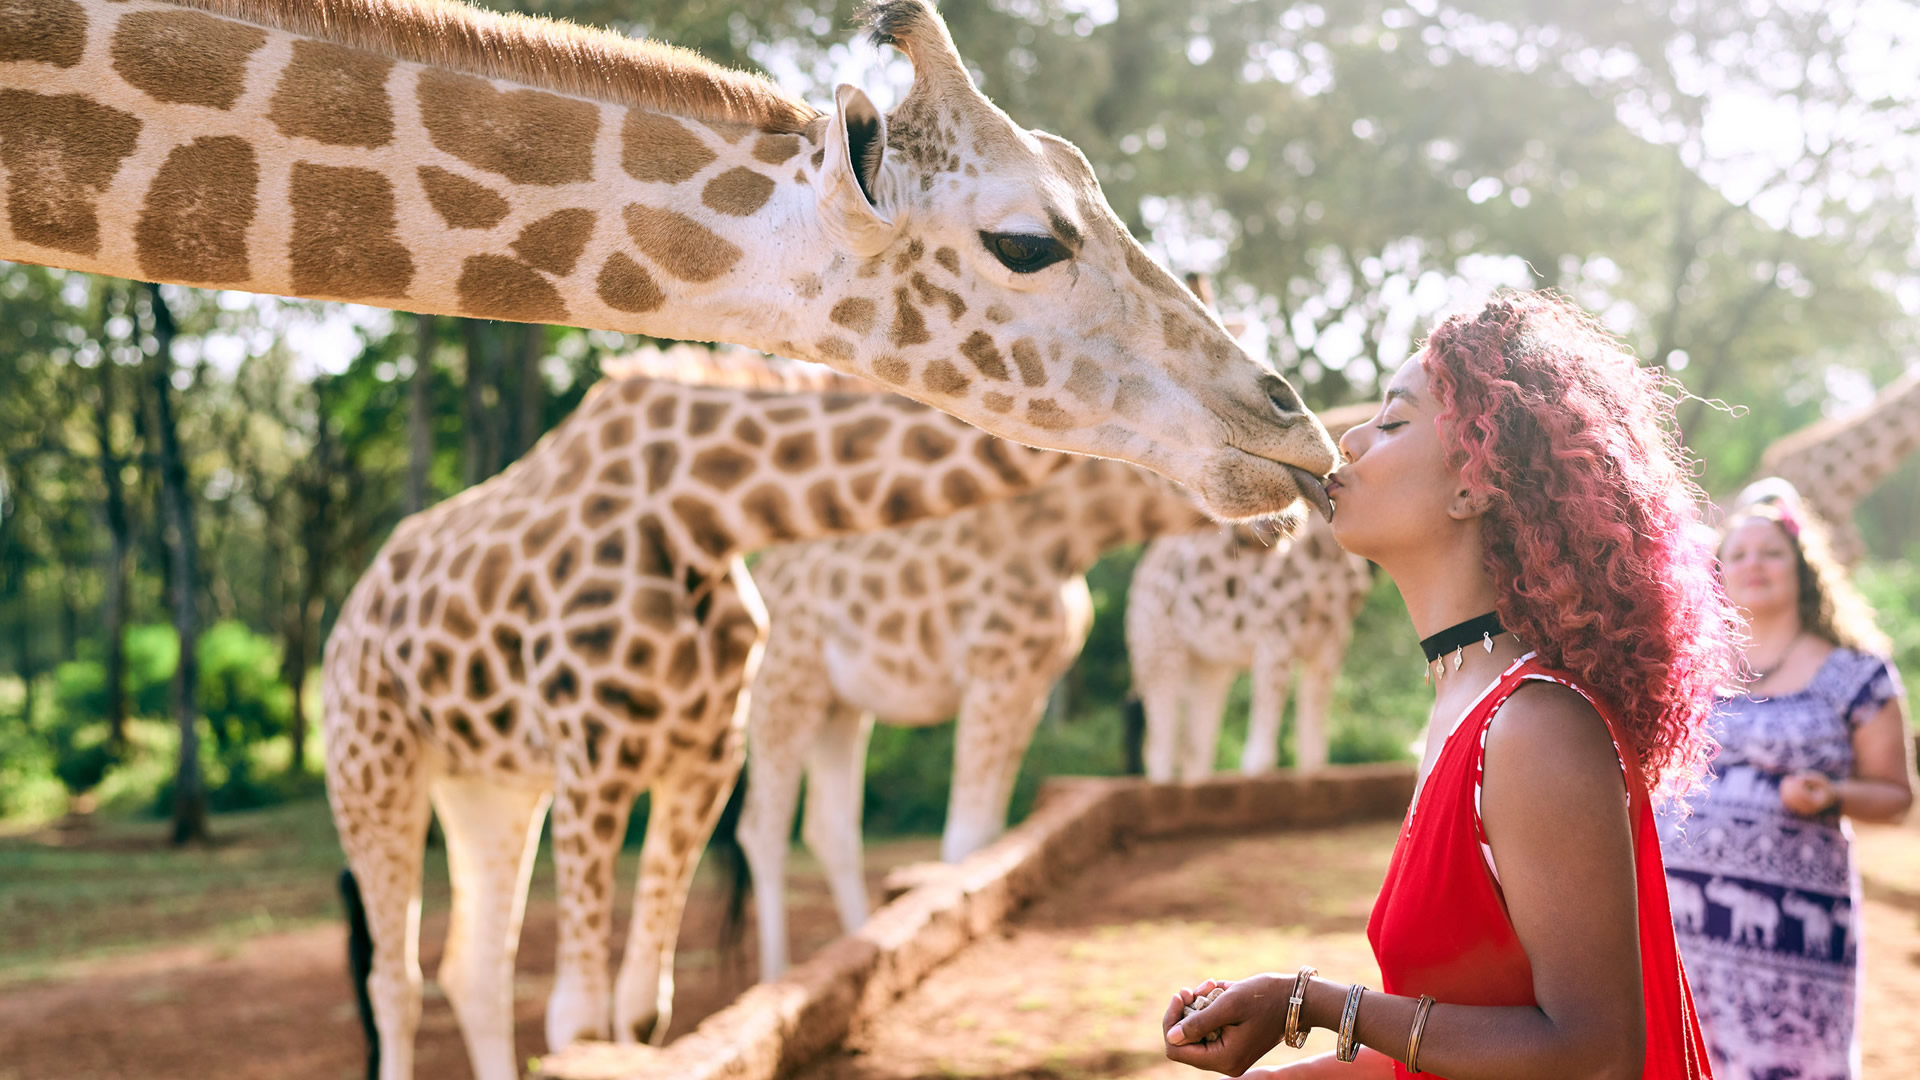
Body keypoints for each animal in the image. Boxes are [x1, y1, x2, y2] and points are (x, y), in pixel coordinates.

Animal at [322, 354, 1097, 1080]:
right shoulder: (592, 758)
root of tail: (344, 621)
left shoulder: (703, 758)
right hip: (373, 769)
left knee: (475, 972)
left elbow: (643, 1014)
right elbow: (578, 1022)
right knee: (395, 983)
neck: (703, 511)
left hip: (489, 786)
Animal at [736, 452, 1255, 981]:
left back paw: (859, 941)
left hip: (839, 704)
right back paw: (776, 976)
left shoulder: (1031, 684)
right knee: (761, 828)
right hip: (783, 684)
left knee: (829, 827)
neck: (1072, 535)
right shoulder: (993, 669)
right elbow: (965, 838)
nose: (1265, 530)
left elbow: (989, 834)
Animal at [1126, 403, 1379, 782]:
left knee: (1195, 750)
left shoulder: (1330, 643)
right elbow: (1259, 760)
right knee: (1159, 750)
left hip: (1209, 663)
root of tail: (1140, 578)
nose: (1268, 529)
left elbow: (1314, 755)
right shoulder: (1275, 639)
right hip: (1158, 649)